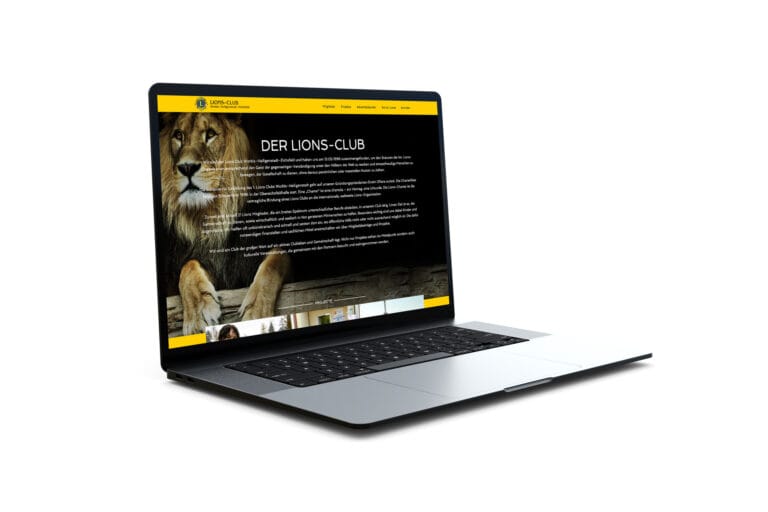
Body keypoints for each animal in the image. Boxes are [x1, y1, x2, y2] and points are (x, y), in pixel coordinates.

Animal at [160, 112, 290, 336]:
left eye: (210, 134)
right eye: (178, 135)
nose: (187, 167)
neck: (215, 214)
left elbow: (276, 259)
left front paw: (257, 313)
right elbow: (188, 266)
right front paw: (198, 313)